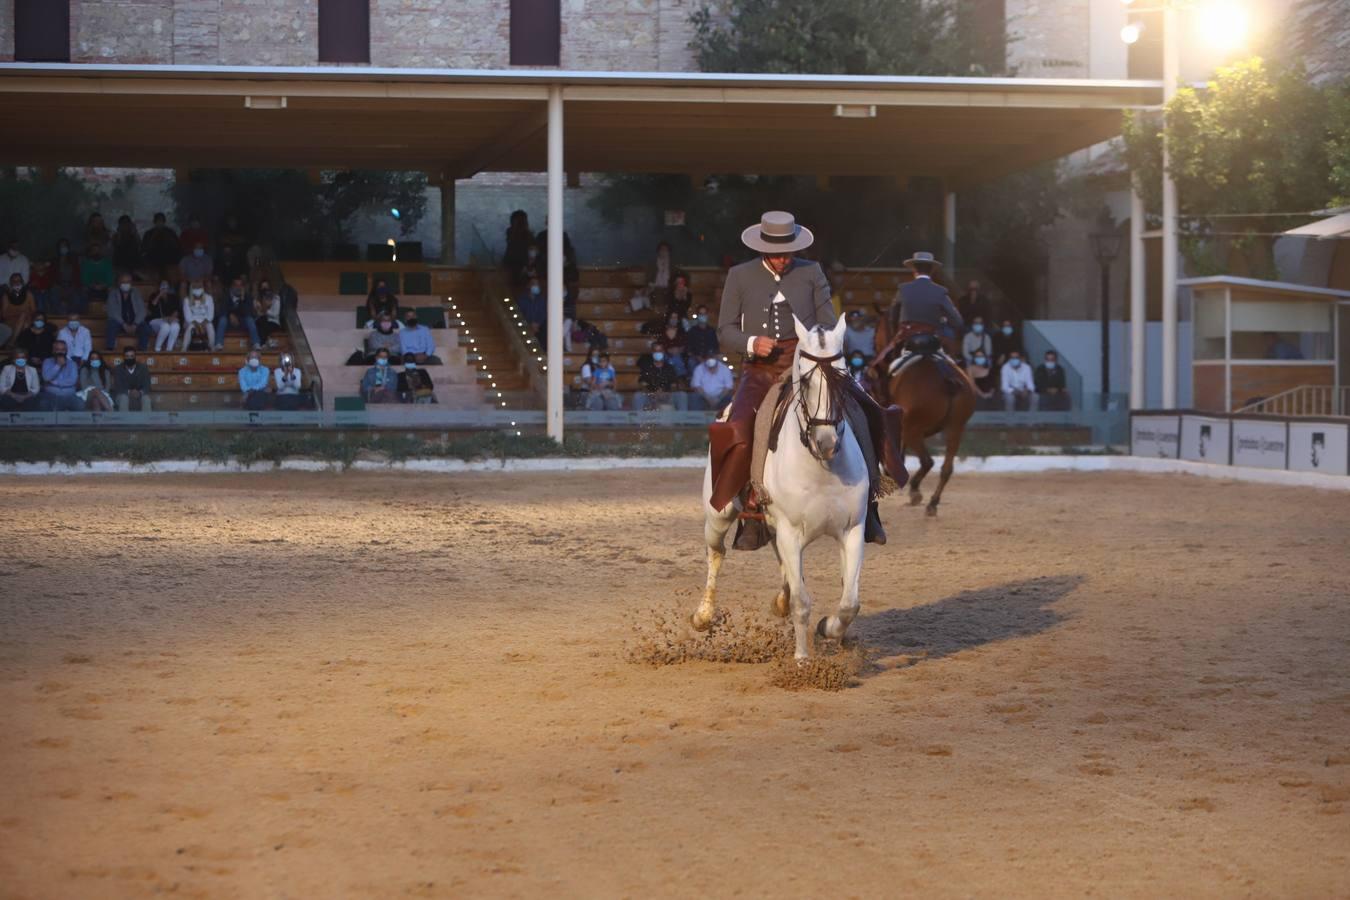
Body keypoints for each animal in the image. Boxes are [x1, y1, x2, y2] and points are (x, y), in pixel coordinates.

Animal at [691, 317, 869, 661]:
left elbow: (849, 602)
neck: (822, 470)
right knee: (716, 553)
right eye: (807, 382)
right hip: (718, 515)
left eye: (844, 377)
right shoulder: (790, 530)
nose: (827, 443)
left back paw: (781, 601)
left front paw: (829, 628)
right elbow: (802, 603)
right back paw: (703, 615)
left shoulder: (853, 530)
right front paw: (801, 660)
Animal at [869, 313, 977, 518]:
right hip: (955, 428)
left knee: (927, 461)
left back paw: (916, 492)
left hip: (913, 430)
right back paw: (932, 503)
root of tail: (947, 377)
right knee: (946, 469)